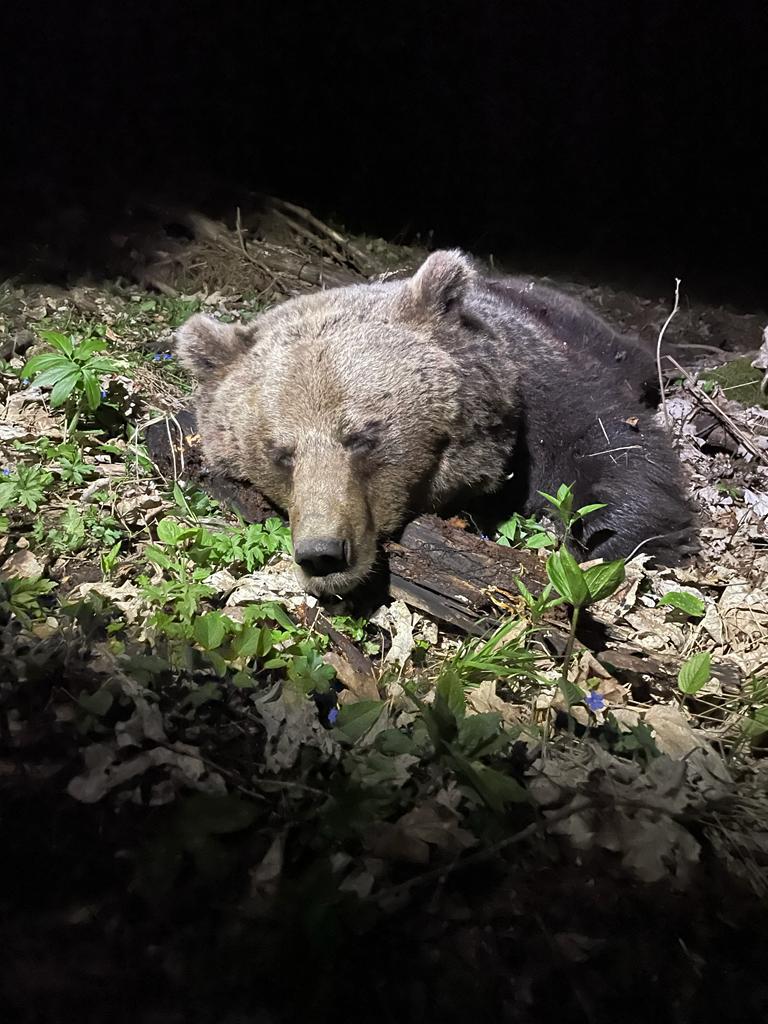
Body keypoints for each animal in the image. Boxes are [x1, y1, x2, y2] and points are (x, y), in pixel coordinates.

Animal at [175, 250, 695, 597]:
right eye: (281, 454)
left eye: (362, 437)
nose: (322, 554)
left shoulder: (545, 388)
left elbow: (610, 446)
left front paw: (620, 541)